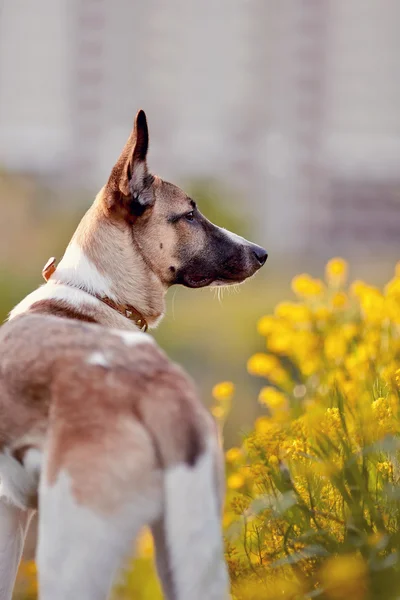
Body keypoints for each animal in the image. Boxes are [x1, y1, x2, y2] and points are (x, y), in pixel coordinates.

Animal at [0, 110, 268, 596]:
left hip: (68, 552)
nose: (261, 254)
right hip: (184, 550)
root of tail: (157, 390)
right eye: (189, 215)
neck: (99, 295)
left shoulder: (8, 510)